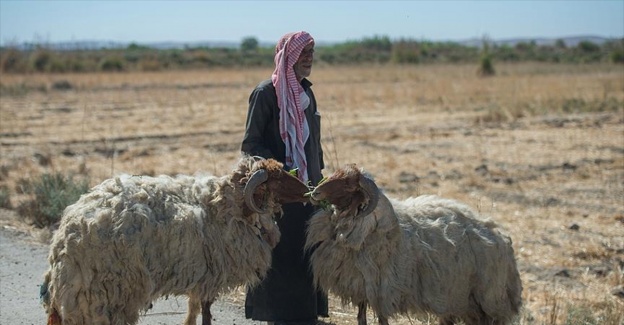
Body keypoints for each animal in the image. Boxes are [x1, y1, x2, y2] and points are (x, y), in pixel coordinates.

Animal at [40, 156, 310, 322]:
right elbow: (205, 313)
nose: (307, 189)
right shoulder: (211, 274)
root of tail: (64, 238)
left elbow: (196, 310)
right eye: (278, 179)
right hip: (106, 292)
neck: (227, 205)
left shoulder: (203, 277)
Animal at [304, 165, 520, 324]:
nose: (315, 192)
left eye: (349, 185)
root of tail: (500, 234)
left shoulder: (383, 290)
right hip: (459, 295)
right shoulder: (360, 286)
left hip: (489, 298)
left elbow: (381, 320)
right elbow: (361, 318)